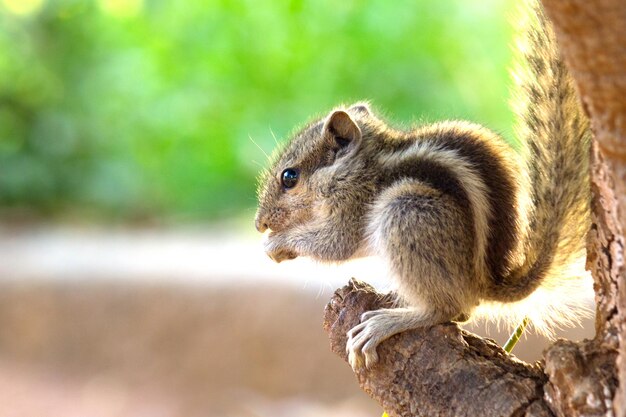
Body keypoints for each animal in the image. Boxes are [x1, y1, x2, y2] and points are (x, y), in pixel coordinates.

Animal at [251, 0, 588, 370]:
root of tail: (486, 284)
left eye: (289, 178)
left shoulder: (353, 206)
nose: (259, 223)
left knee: (451, 309)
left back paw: (386, 322)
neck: (363, 164)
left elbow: (335, 244)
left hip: (406, 213)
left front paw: (276, 244)